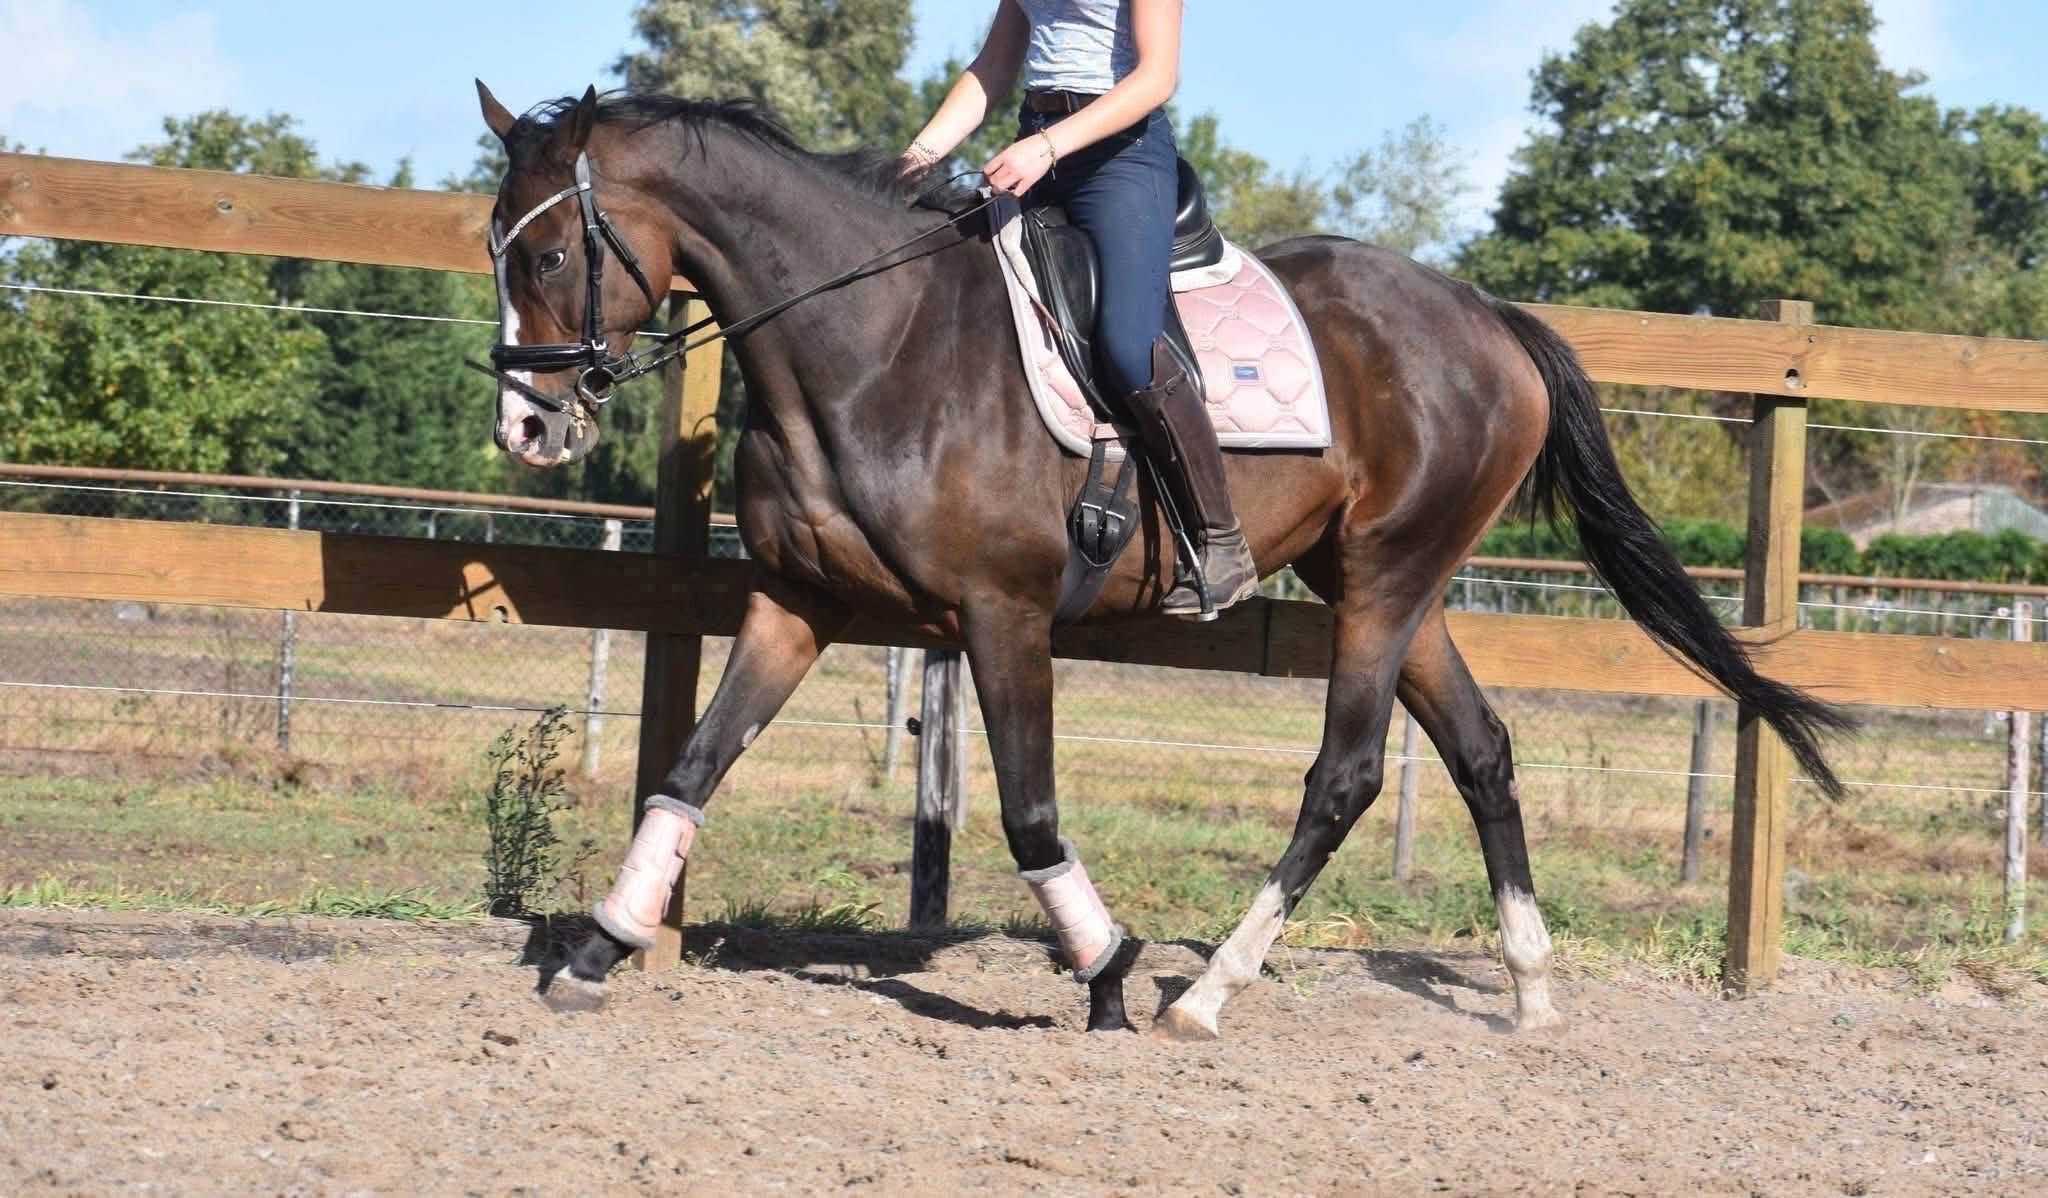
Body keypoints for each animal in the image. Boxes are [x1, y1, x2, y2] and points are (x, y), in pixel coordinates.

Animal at [475, 84, 1847, 1038]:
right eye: (494, 248)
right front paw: (595, 949)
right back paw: (1529, 990)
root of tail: (1487, 318)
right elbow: (690, 770)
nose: (528, 428)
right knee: (1481, 753)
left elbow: (1030, 813)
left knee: (1344, 776)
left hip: (1385, 583)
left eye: (546, 255)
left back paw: (1207, 993)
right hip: (1391, 586)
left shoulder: (1002, 613)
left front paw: (1108, 974)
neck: (872, 342)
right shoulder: (794, 604)